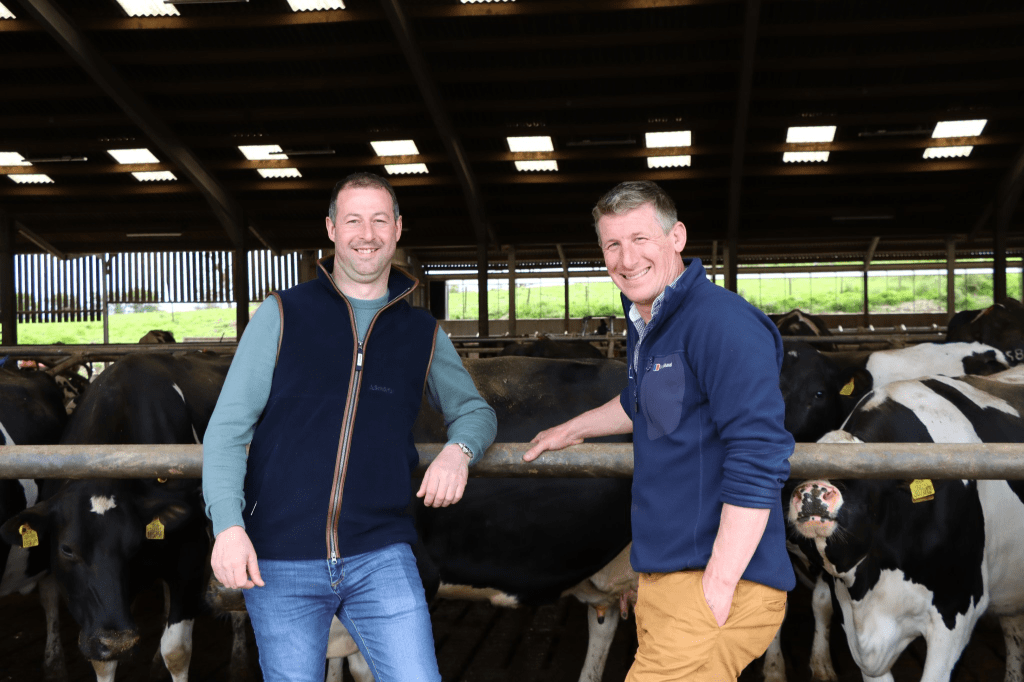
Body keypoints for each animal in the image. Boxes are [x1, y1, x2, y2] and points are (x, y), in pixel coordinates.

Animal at [0, 350, 232, 679]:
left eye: (135, 545)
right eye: (66, 549)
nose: (119, 642)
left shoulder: (190, 551)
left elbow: (176, 651)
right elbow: (102, 659)